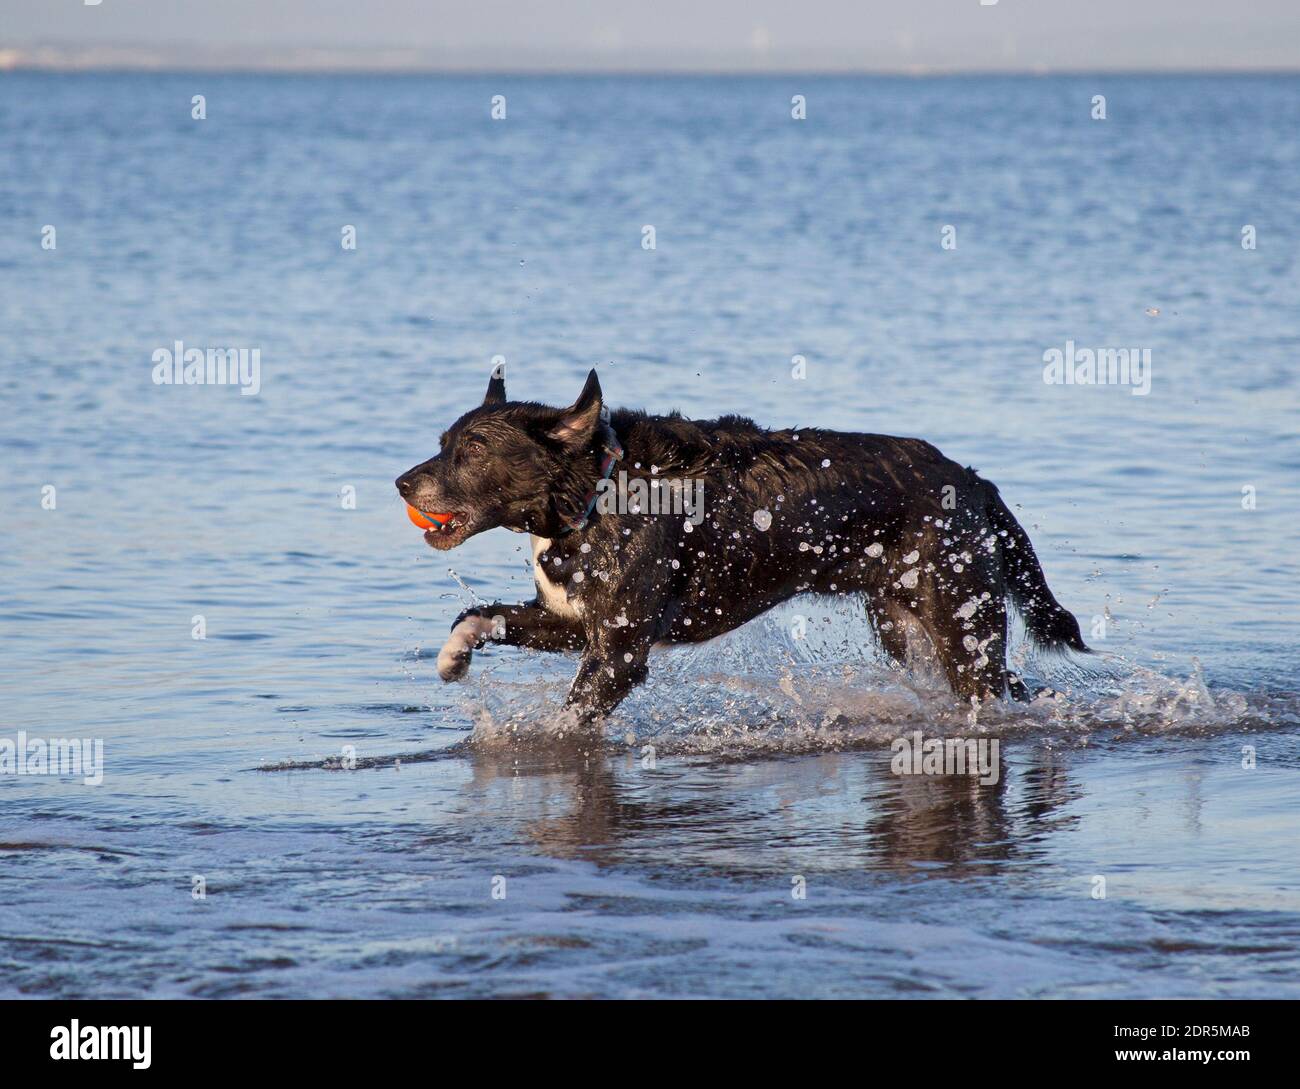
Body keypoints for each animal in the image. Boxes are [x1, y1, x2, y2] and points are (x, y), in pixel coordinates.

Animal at [395, 369, 1086, 722]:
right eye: (443, 442)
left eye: (474, 449)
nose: (402, 481)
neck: (598, 491)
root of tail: (969, 478)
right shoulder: (573, 622)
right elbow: (477, 616)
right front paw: (453, 658)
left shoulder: (618, 650)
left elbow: (571, 718)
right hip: (907, 628)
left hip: (959, 622)